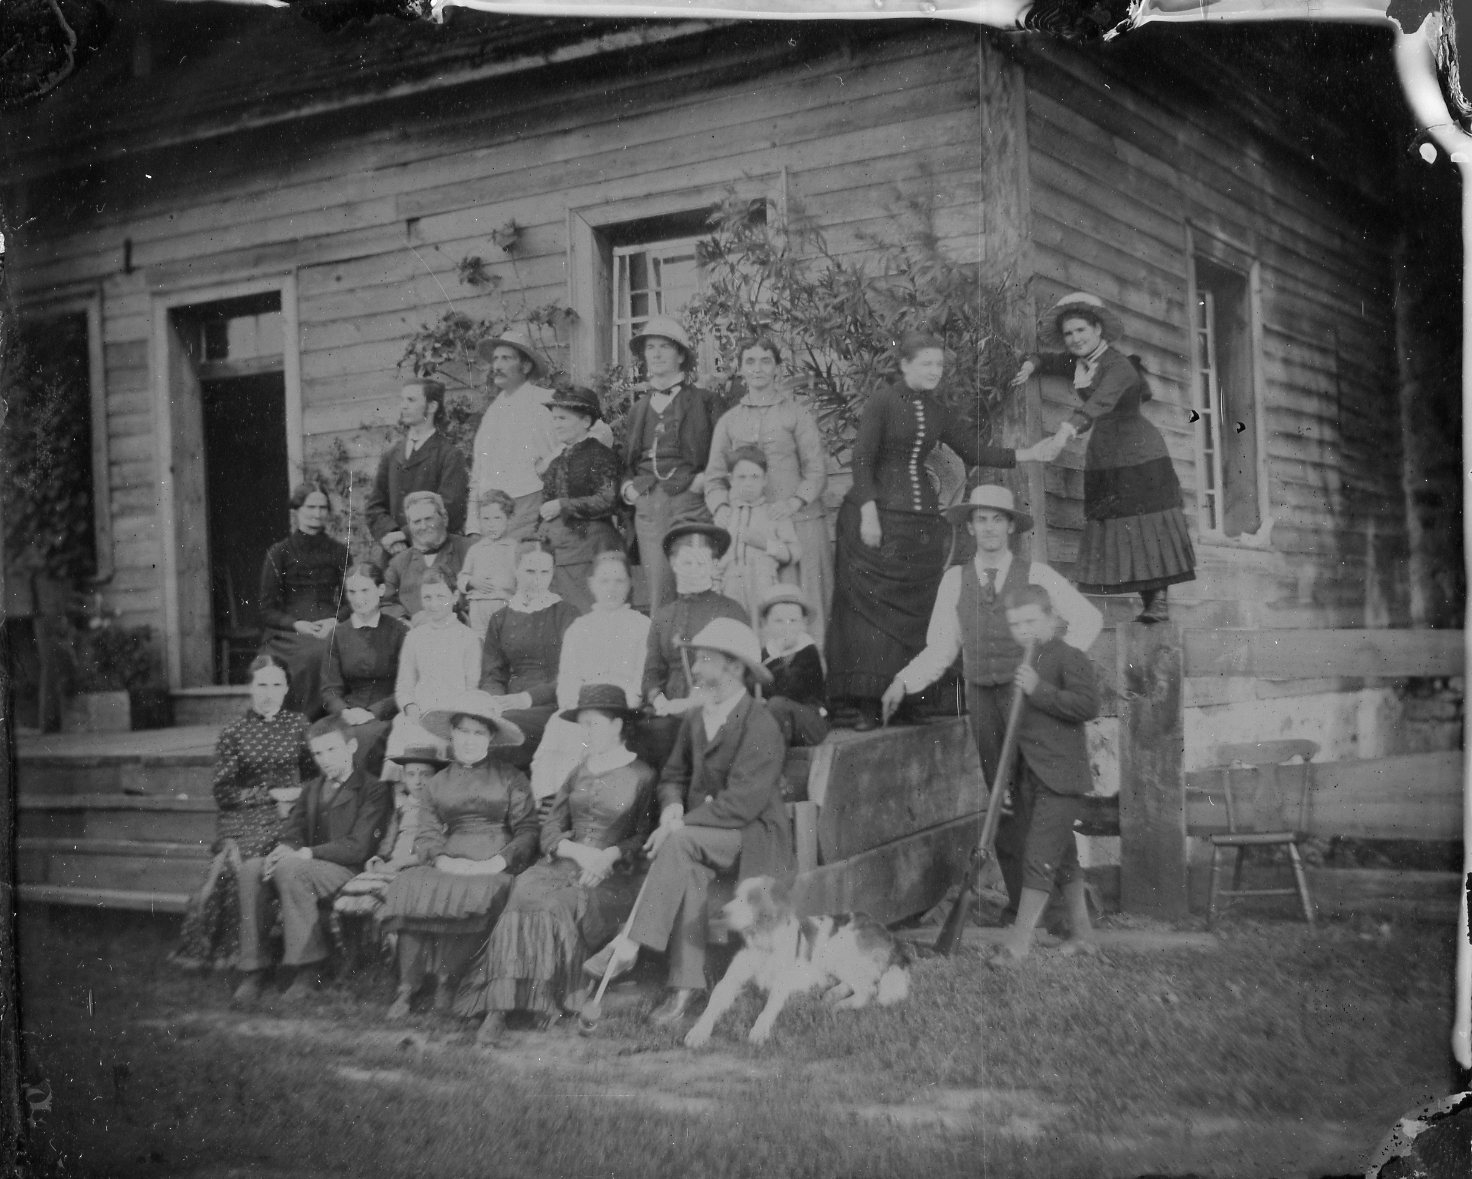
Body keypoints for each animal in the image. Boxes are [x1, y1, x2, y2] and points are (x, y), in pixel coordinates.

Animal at [685, 871, 912, 1048]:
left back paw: (840, 1005)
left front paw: (759, 1030)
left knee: (868, 990)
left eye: (751, 898)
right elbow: (712, 1005)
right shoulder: (729, 982)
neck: (764, 946)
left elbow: (770, 1006)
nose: (720, 912)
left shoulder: (782, 983)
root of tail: (887, 933)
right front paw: (697, 1032)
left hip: (837, 951)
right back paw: (831, 994)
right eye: (735, 897)